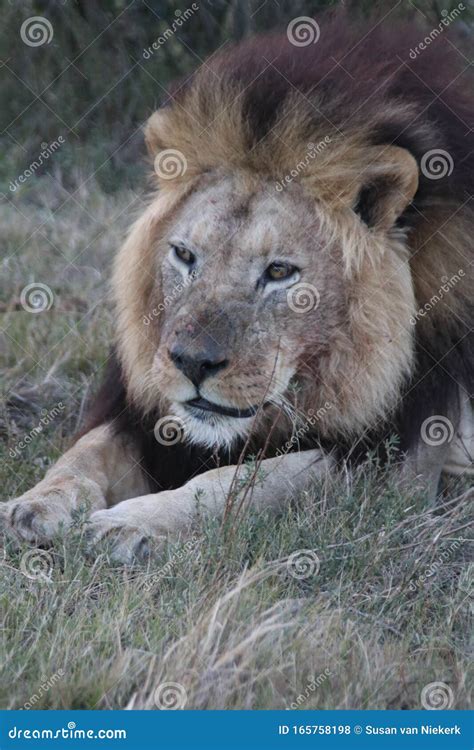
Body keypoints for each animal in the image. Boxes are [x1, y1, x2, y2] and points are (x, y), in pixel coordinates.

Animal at [1, 16, 472, 564]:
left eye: (279, 272)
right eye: (185, 256)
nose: (192, 363)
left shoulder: (397, 461)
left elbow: (250, 481)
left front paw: (126, 525)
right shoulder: (141, 416)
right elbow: (83, 455)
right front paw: (33, 506)